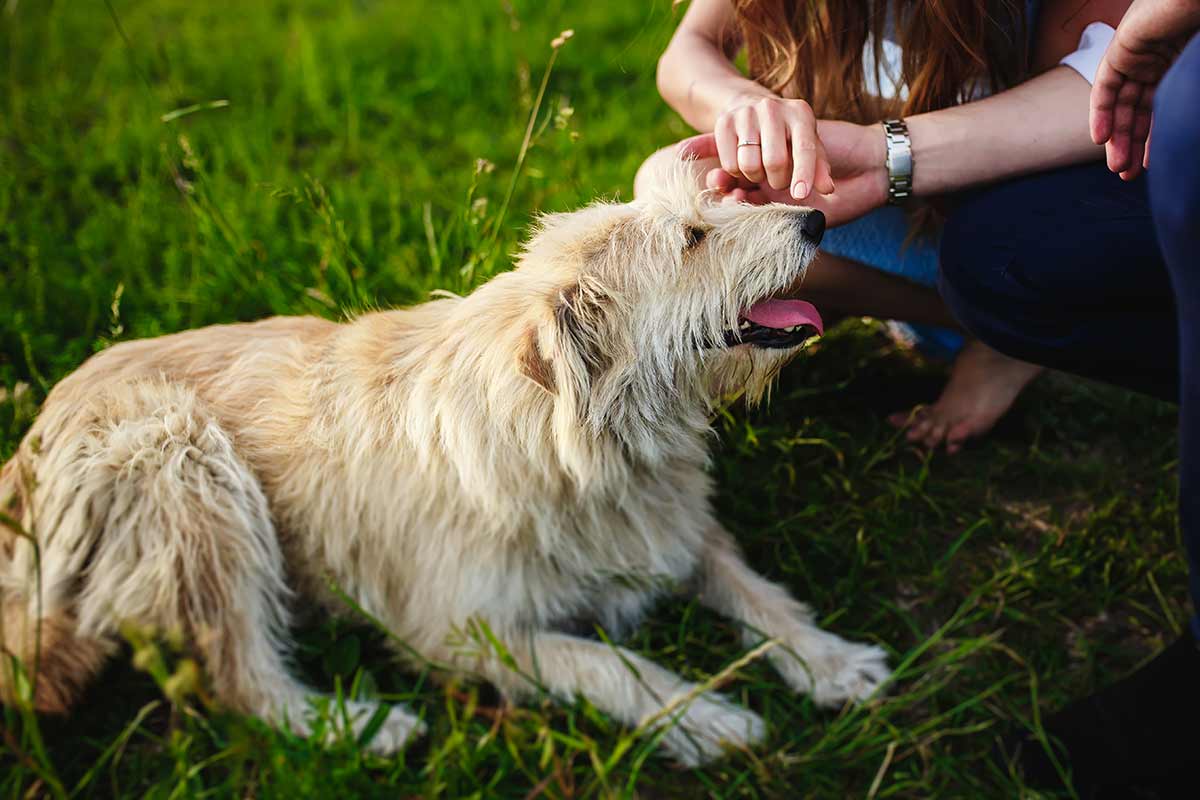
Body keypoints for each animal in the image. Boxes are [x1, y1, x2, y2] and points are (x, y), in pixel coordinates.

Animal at [2, 159, 892, 767]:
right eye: (694, 238)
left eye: (717, 203)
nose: (816, 218)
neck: (580, 445)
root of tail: (29, 450)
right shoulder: (458, 631)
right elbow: (607, 662)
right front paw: (702, 716)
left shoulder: (672, 531)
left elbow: (758, 593)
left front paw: (830, 661)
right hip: (184, 461)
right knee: (240, 679)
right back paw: (356, 724)